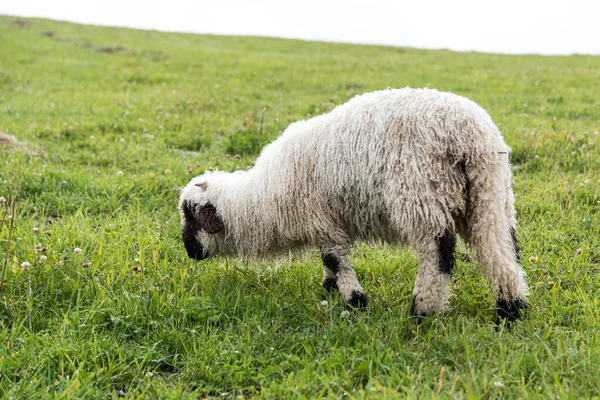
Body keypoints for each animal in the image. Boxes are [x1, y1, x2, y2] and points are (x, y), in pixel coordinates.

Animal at [179, 87, 528, 322]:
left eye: (191, 217)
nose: (189, 252)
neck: (259, 199)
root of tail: (468, 133)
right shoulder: (325, 222)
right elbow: (327, 259)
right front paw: (329, 288)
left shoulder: (320, 219)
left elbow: (334, 258)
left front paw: (354, 299)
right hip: (490, 193)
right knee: (501, 247)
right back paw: (511, 308)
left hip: (420, 193)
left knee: (438, 252)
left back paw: (422, 310)